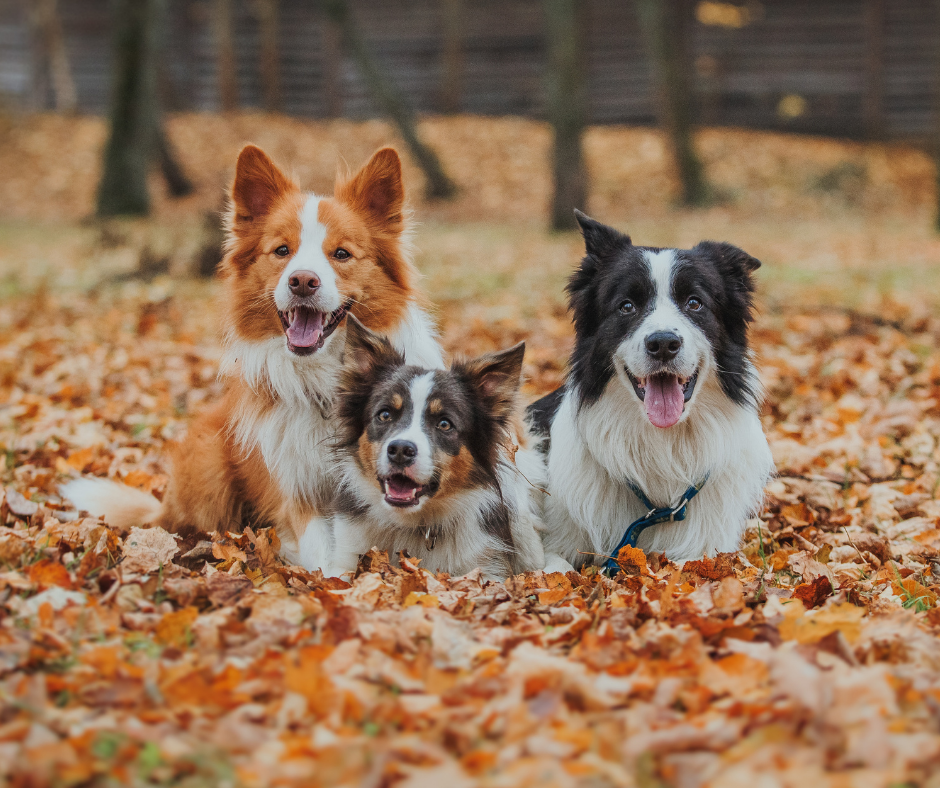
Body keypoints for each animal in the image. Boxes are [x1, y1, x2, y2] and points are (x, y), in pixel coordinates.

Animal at [65, 145, 440, 568]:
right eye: (282, 251)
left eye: (342, 254)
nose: (303, 281)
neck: (326, 379)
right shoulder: (296, 490)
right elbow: (323, 556)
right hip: (209, 461)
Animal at [524, 209, 776, 568]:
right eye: (627, 306)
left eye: (694, 303)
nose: (663, 344)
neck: (662, 444)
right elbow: (553, 568)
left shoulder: (708, 548)